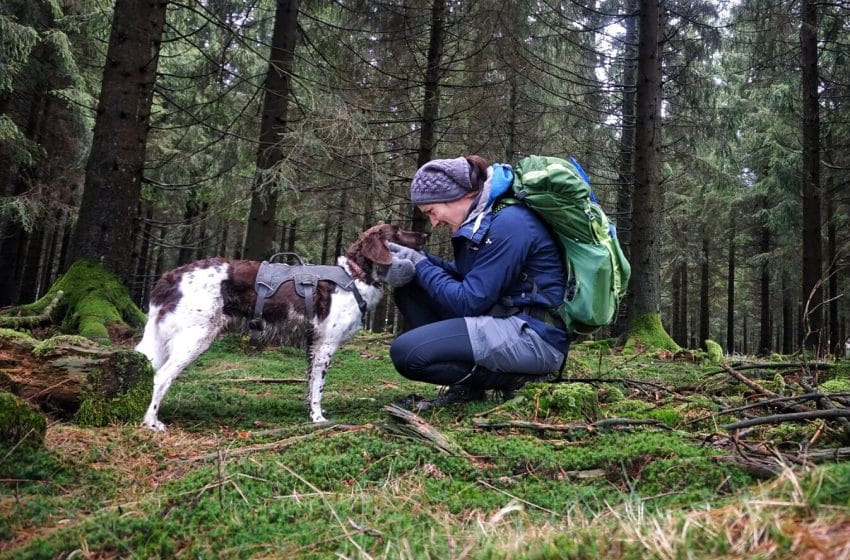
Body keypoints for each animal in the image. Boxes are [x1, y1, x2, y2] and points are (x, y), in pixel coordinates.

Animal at [137, 225, 428, 430]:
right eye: (398, 231)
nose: (425, 234)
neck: (354, 275)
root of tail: (170, 277)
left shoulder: (312, 346)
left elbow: (310, 385)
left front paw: (309, 413)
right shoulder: (325, 345)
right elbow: (318, 389)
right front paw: (318, 419)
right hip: (195, 338)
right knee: (161, 376)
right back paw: (152, 422)